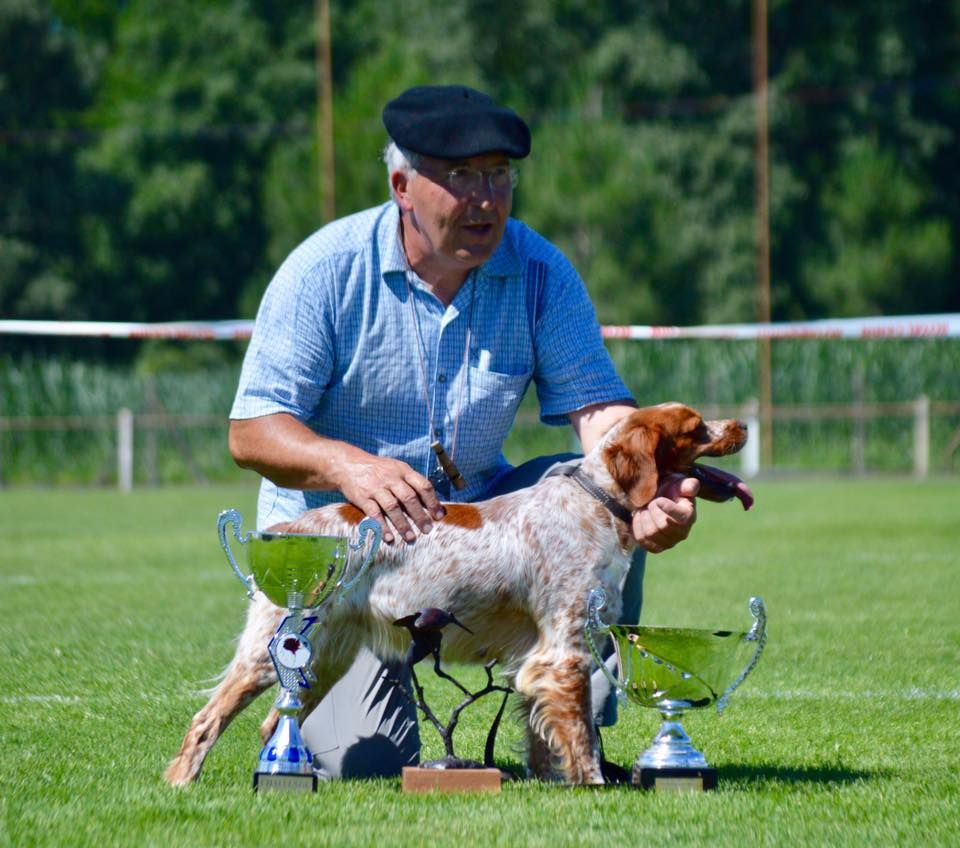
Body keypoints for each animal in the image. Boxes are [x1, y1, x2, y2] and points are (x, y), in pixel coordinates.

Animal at [163, 404, 752, 788]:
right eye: (697, 428)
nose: (743, 424)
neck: (597, 503)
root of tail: (289, 533)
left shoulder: (538, 658)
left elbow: (541, 730)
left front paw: (548, 781)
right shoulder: (564, 651)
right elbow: (578, 730)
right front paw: (591, 783)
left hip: (322, 659)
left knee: (273, 722)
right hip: (275, 651)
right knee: (207, 719)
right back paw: (180, 782)